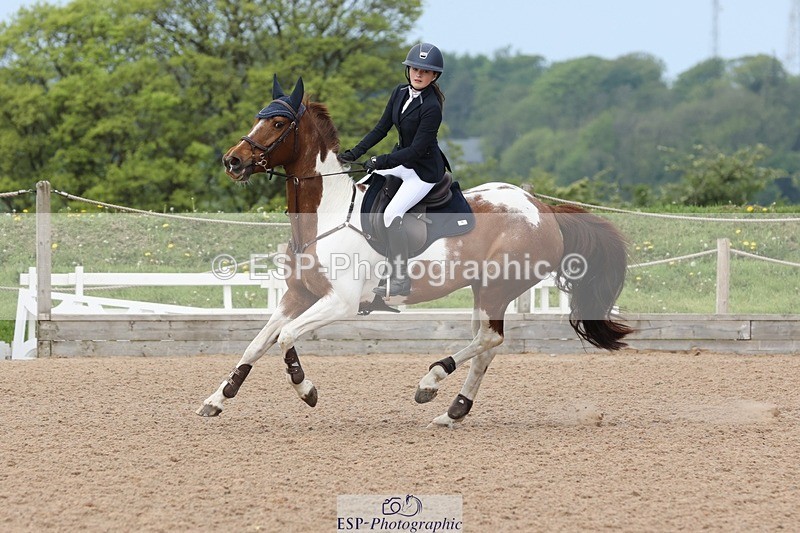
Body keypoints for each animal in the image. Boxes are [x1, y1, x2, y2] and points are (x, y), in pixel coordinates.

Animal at [197, 76, 632, 427]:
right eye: (258, 117)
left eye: (278, 123)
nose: (233, 160)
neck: (325, 215)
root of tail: (542, 209)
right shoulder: (297, 295)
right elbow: (257, 342)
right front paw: (217, 400)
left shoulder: (341, 302)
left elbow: (285, 338)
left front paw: (306, 390)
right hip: (482, 290)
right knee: (485, 345)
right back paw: (453, 410)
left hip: (498, 287)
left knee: (490, 340)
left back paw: (431, 381)